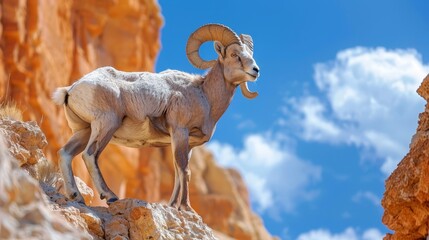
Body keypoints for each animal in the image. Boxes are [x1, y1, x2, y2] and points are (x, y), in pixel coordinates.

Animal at [52, 23, 260, 210]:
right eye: (234, 55)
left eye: (250, 56)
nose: (256, 71)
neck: (204, 96)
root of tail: (70, 90)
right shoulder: (180, 131)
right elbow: (184, 169)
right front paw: (186, 208)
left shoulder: (187, 144)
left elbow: (179, 171)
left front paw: (172, 205)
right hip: (105, 125)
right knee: (90, 155)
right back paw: (110, 196)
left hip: (84, 131)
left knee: (65, 154)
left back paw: (76, 196)